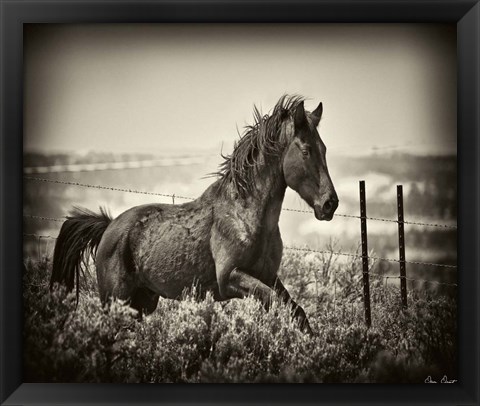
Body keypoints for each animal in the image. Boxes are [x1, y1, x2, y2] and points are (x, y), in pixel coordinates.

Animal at [50, 95, 338, 334]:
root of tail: (110, 227)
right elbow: (278, 303)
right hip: (116, 299)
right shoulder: (230, 278)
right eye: (306, 150)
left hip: (142, 302)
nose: (330, 204)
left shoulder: (268, 276)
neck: (245, 215)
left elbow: (296, 311)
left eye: (324, 149)